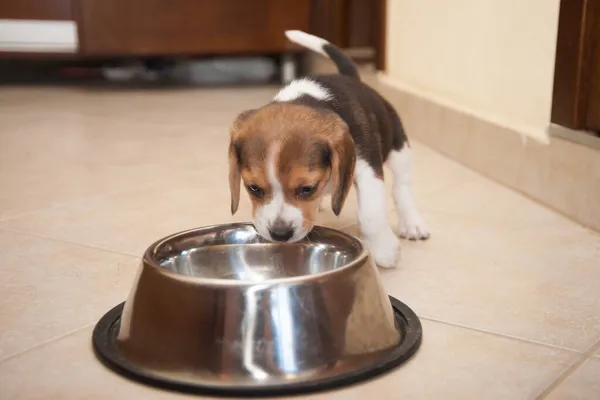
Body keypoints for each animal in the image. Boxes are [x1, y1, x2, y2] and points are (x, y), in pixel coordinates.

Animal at [227, 30, 428, 268]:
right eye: (254, 188)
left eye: (307, 188)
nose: (280, 234)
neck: (306, 99)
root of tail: (351, 77)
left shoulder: (368, 169)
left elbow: (371, 213)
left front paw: (384, 249)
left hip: (399, 147)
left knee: (402, 188)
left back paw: (412, 223)